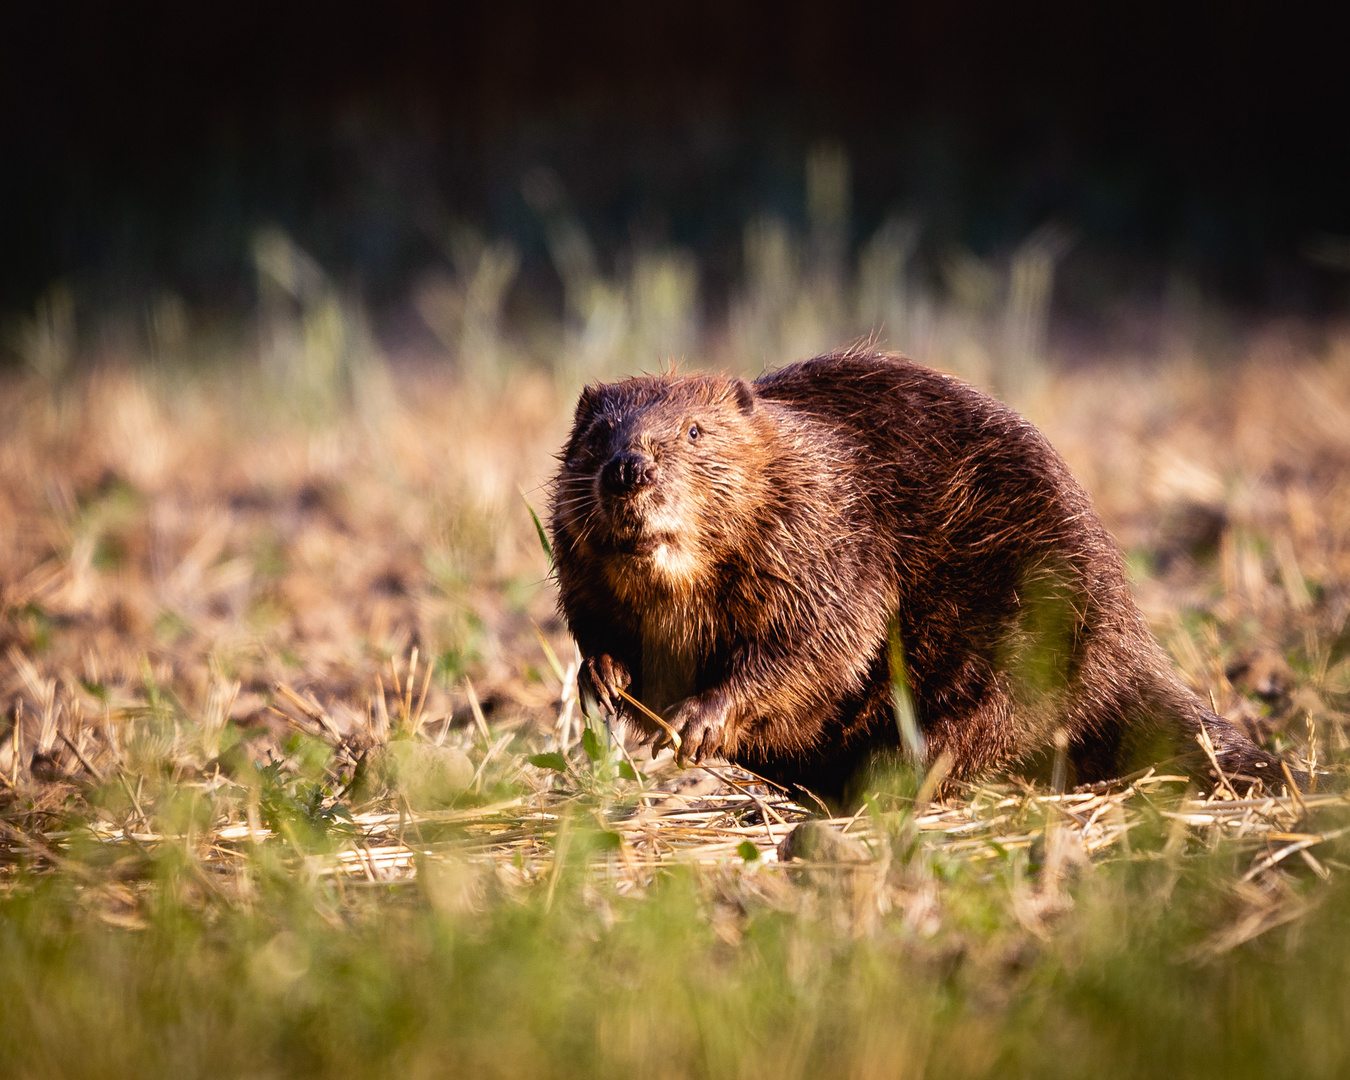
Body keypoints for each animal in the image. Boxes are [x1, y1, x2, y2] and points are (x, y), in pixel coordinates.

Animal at [548, 345, 1296, 799]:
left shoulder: (831, 539)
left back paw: (898, 775)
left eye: (696, 430)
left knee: (992, 715)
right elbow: (605, 633)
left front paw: (696, 722)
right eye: (596, 435)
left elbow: (818, 646)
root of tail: (1134, 656)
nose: (628, 469)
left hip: (1032, 627)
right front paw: (603, 683)